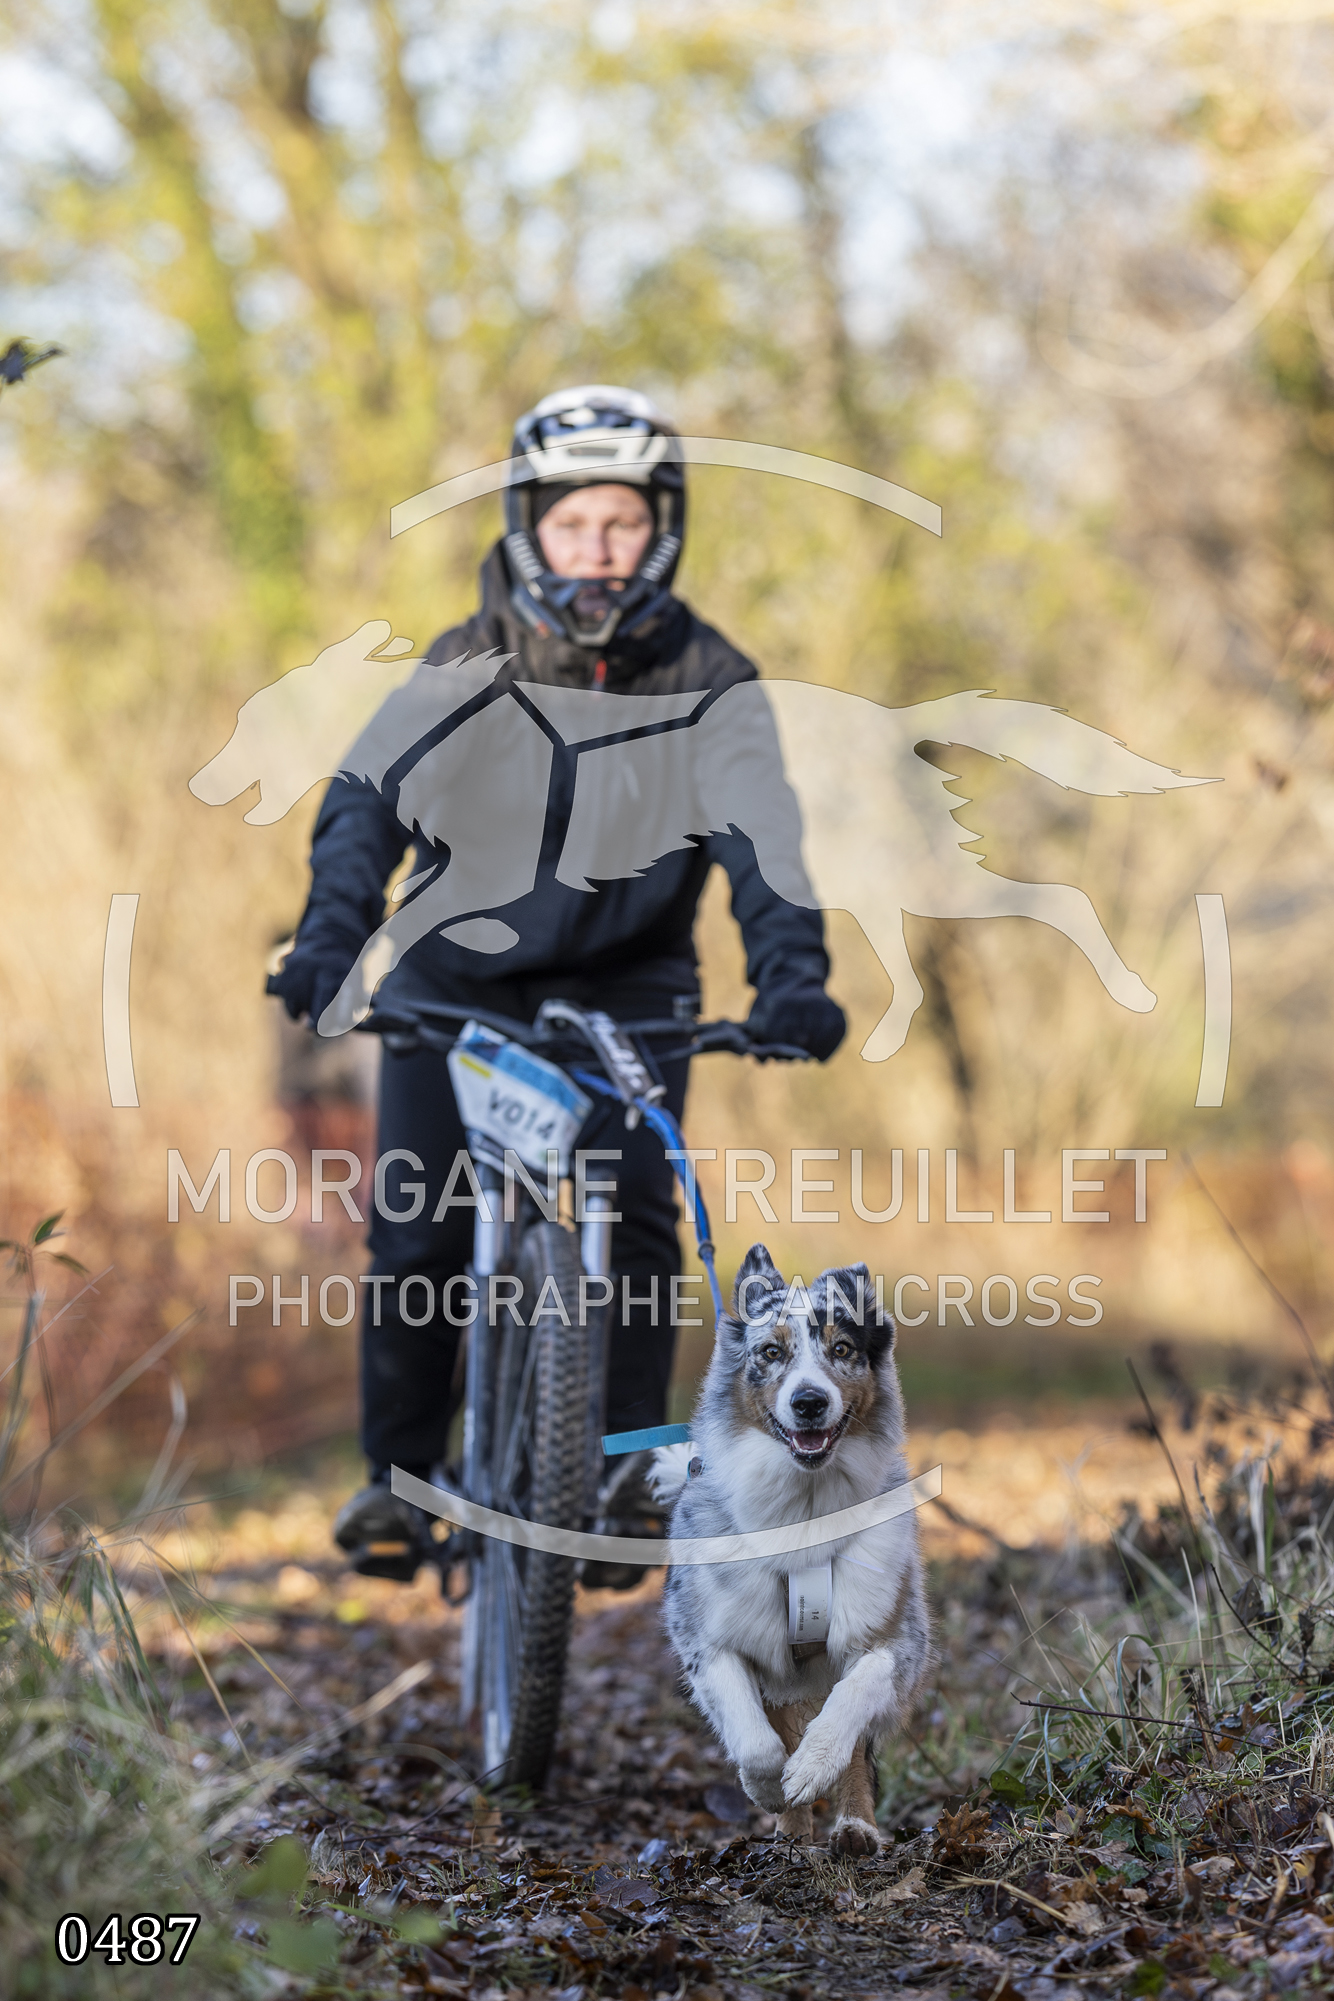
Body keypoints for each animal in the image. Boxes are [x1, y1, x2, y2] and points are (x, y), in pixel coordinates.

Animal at [656, 1245, 932, 1855]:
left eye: (842, 1349)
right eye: (771, 1352)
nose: (808, 1402)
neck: (805, 1512)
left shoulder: (893, 1639)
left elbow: (852, 1703)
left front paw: (811, 1768)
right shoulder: (709, 1641)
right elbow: (757, 1741)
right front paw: (768, 1789)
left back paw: (854, 1829)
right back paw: (790, 1833)